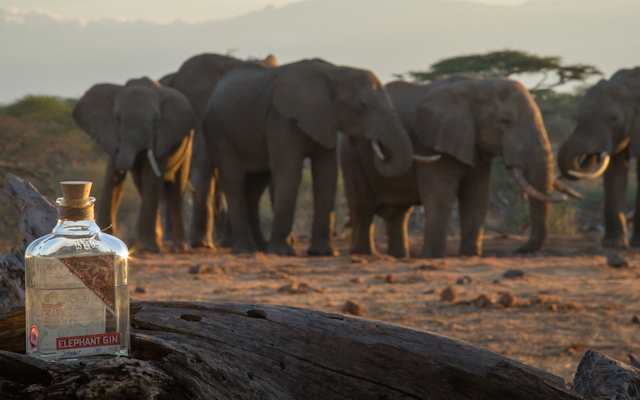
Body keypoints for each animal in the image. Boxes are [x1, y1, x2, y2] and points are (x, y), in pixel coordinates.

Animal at [73, 77, 196, 252]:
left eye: (156, 120)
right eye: (117, 118)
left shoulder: (162, 137)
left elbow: (151, 178)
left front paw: (148, 248)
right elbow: (112, 179)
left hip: (187, 142)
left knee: (175, 187)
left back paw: (180, 247)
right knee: (141, 184)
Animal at [203, 58, 414, 256]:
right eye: (363, 105)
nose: (379, 148)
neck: (336, 71)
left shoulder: (325, 119)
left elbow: (327, 173)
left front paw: (324, 253)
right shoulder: (281, 118)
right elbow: (290, 172)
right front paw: (282, 253)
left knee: (255, 184)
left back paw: (260, 248)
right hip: (219, 132)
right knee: (234, 181)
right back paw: (246, 250)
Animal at [340, 75, 577, 259]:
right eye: (505, 121)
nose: (518, 250)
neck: (478, 85)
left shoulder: (474, 146)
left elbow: (477, 197)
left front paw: (470, 256)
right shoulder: (432, 142)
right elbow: (441, 198)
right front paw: (432, 258)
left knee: (398, 216)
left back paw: (399, 257)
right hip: (352, 156)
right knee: (362, 208)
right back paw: (364, 255)